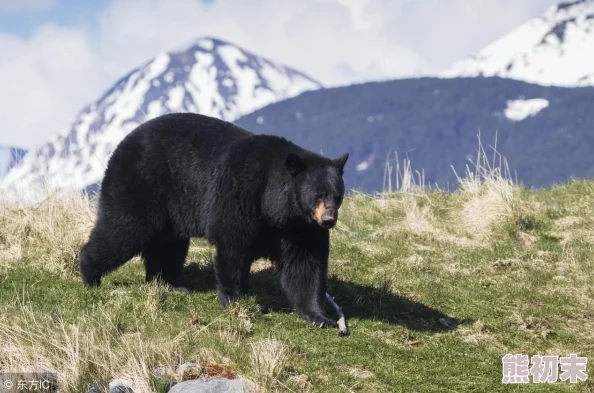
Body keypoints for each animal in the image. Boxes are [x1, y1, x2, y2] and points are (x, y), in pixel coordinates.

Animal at [80, 112, 346, 326]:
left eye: (337, 195)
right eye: (318, 194)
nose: (329, 219)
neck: (276, 207)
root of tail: (123, 141)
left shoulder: (301, 228)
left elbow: (306, 264)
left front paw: (320, 317)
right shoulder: (241, 193)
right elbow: (233, 245)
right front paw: (237, 299)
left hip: (170, 211)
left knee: (167, 246)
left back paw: (170, 284)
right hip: (141, 185)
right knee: (124, 230)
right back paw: (89, 274)